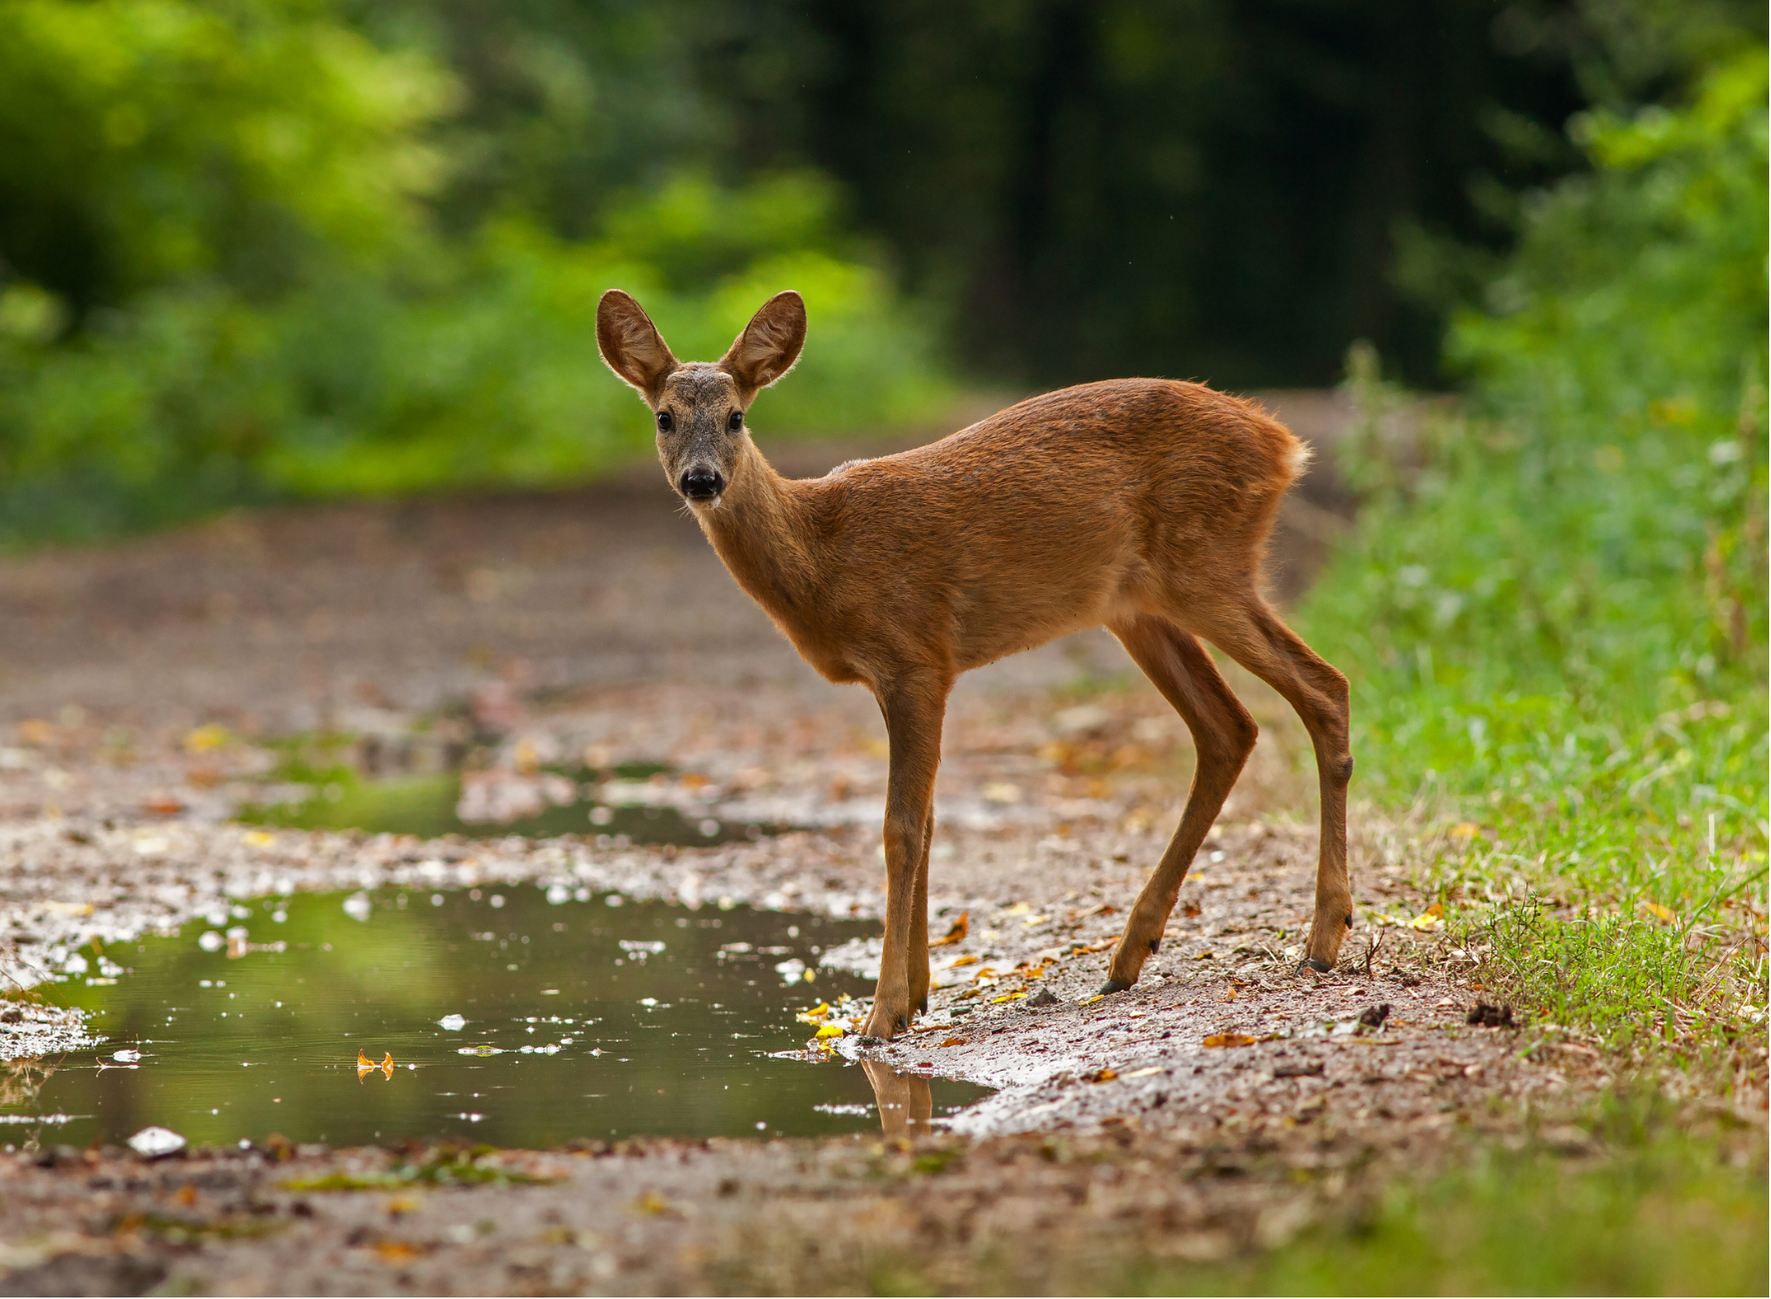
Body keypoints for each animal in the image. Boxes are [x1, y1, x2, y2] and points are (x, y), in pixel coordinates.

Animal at [598, 288, 1353, 1042]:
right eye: (664, 417)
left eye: (736, 416)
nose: (702, 480)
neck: (822, 555)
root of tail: (1282, 443)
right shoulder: (914, 673)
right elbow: (928, 822)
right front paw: (918, 993)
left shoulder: (915, 657)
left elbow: (900, 828)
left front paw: (881, 1012)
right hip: (1136, 607)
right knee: (1228, 728)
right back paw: (1128, 956)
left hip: (1206, 564)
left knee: (1324, 686)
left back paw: (1321, 940)